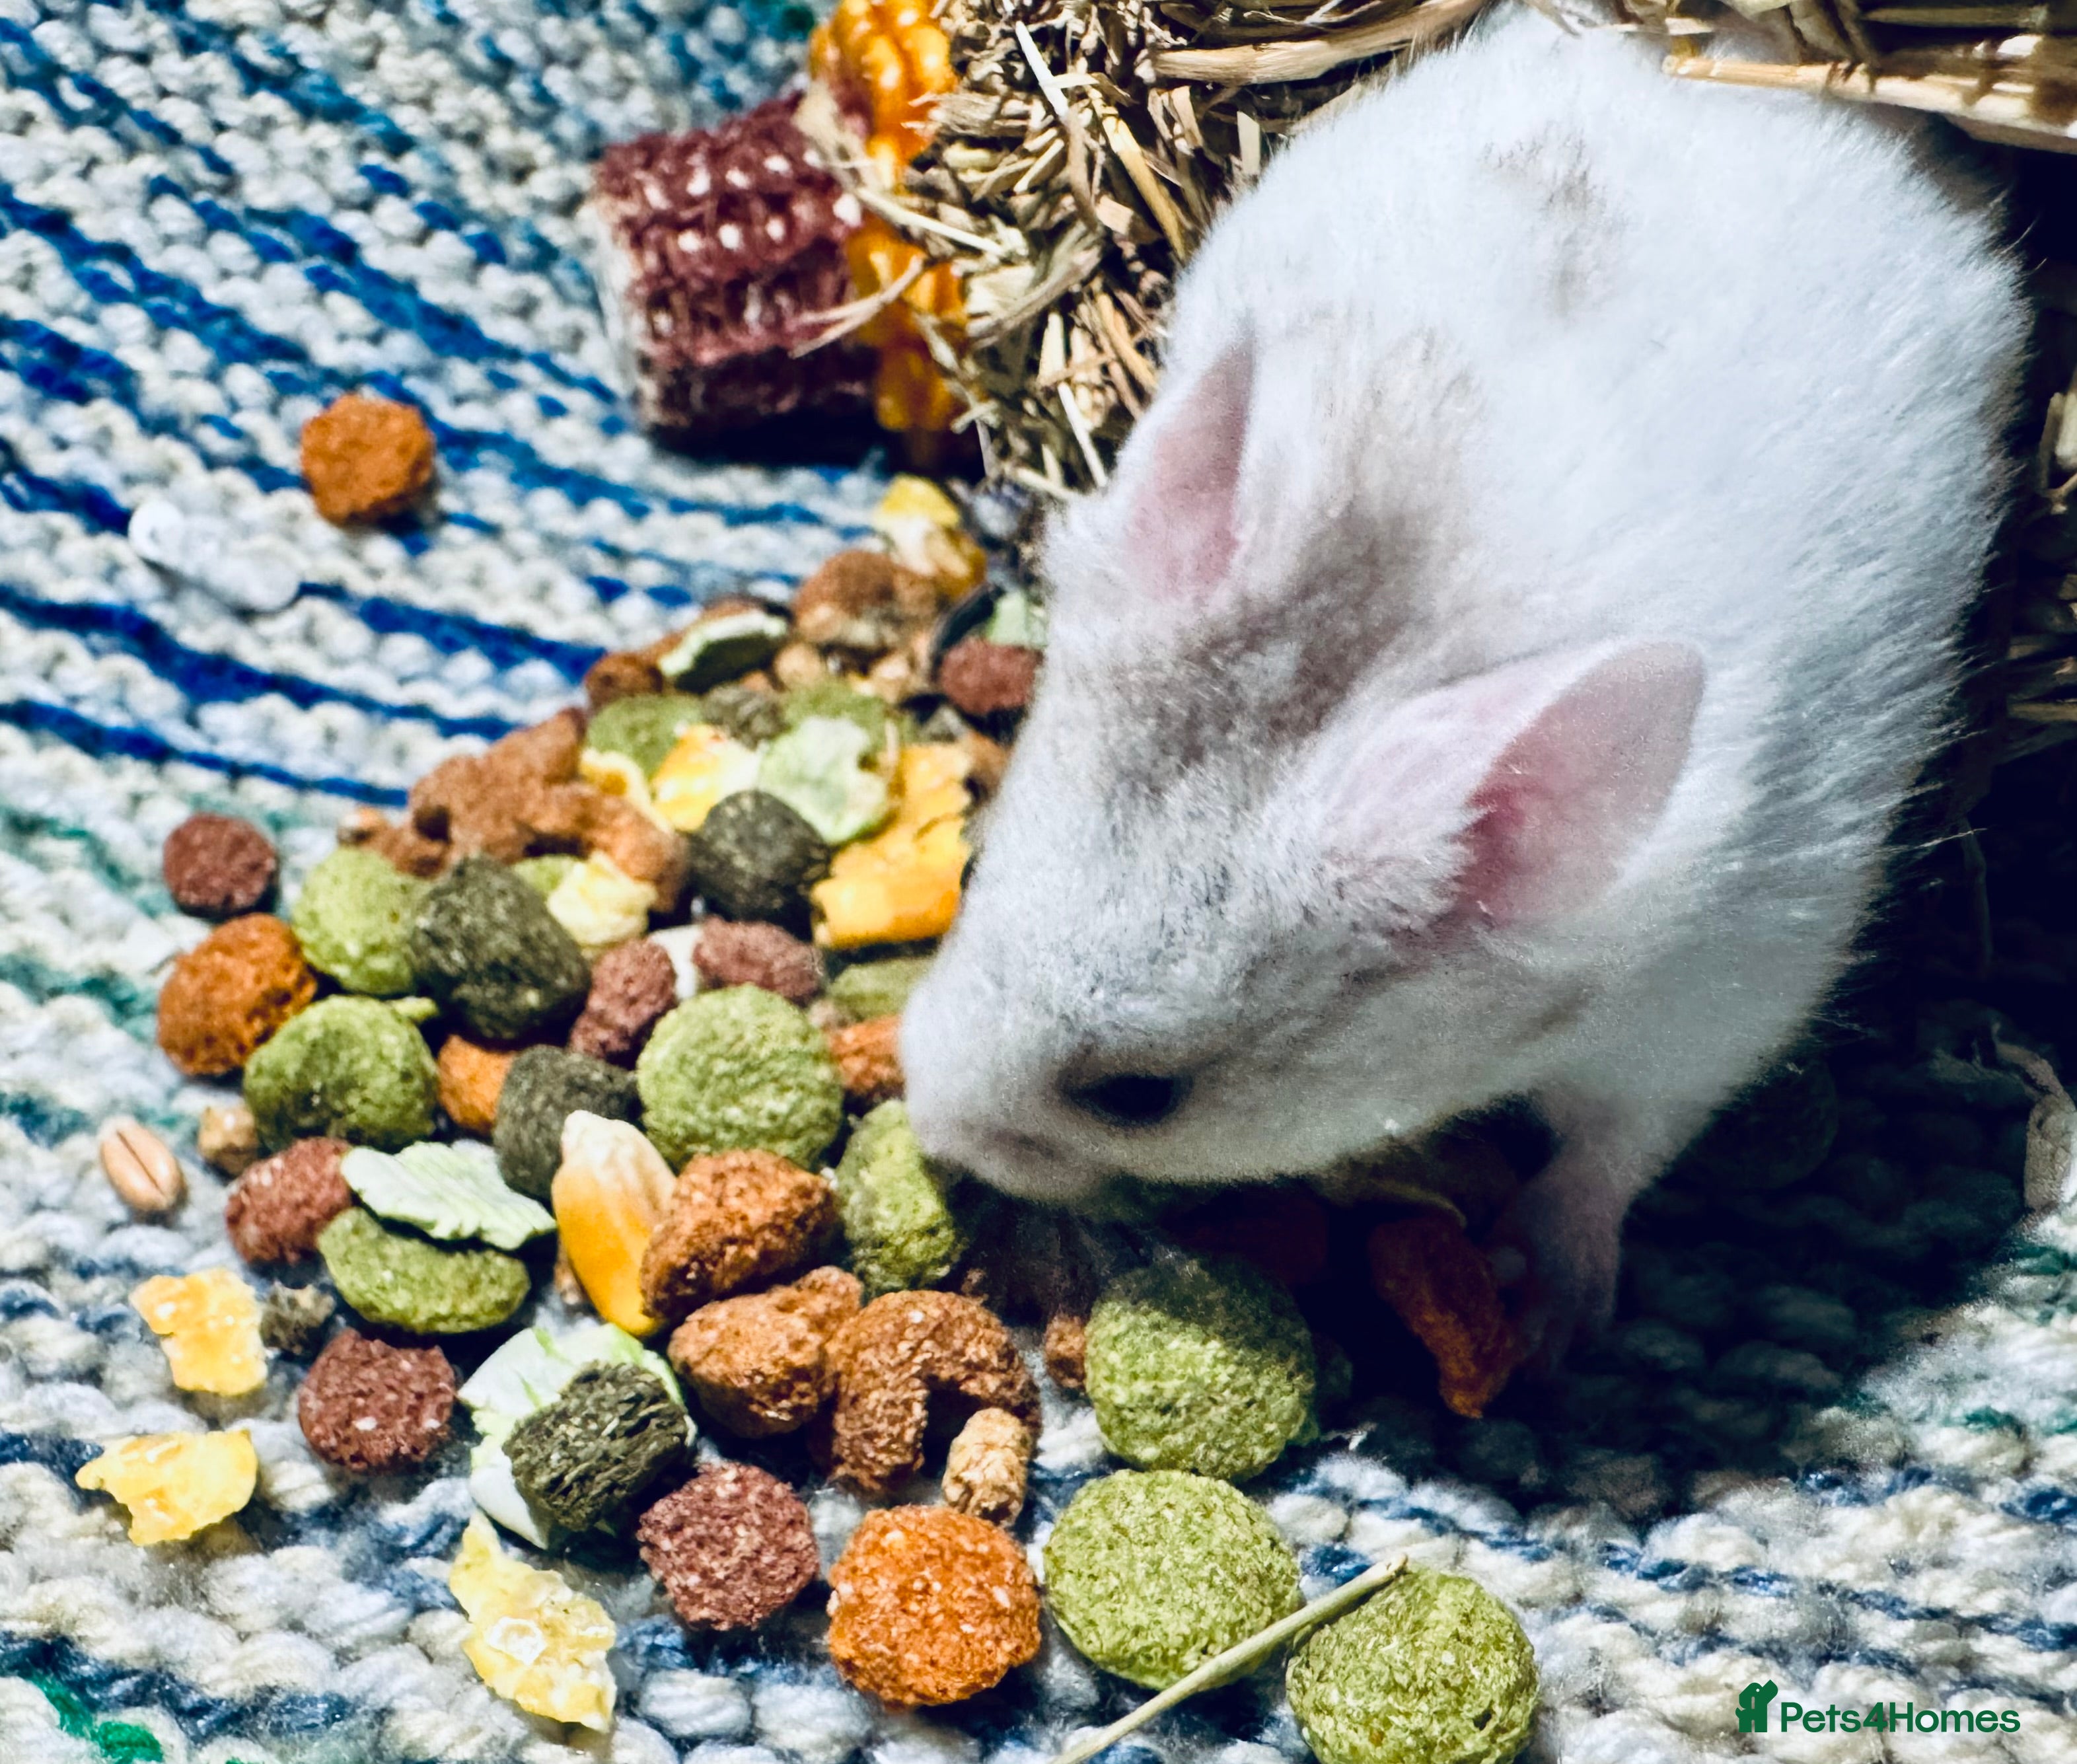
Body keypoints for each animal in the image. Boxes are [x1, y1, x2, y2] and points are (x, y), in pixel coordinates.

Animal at [900, 8, 2028, 1359]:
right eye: (968, 868)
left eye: (1134, 1096)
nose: (919, 1116)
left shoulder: (1717, 1003)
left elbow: (1610, 1151)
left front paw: (1544, 1309)